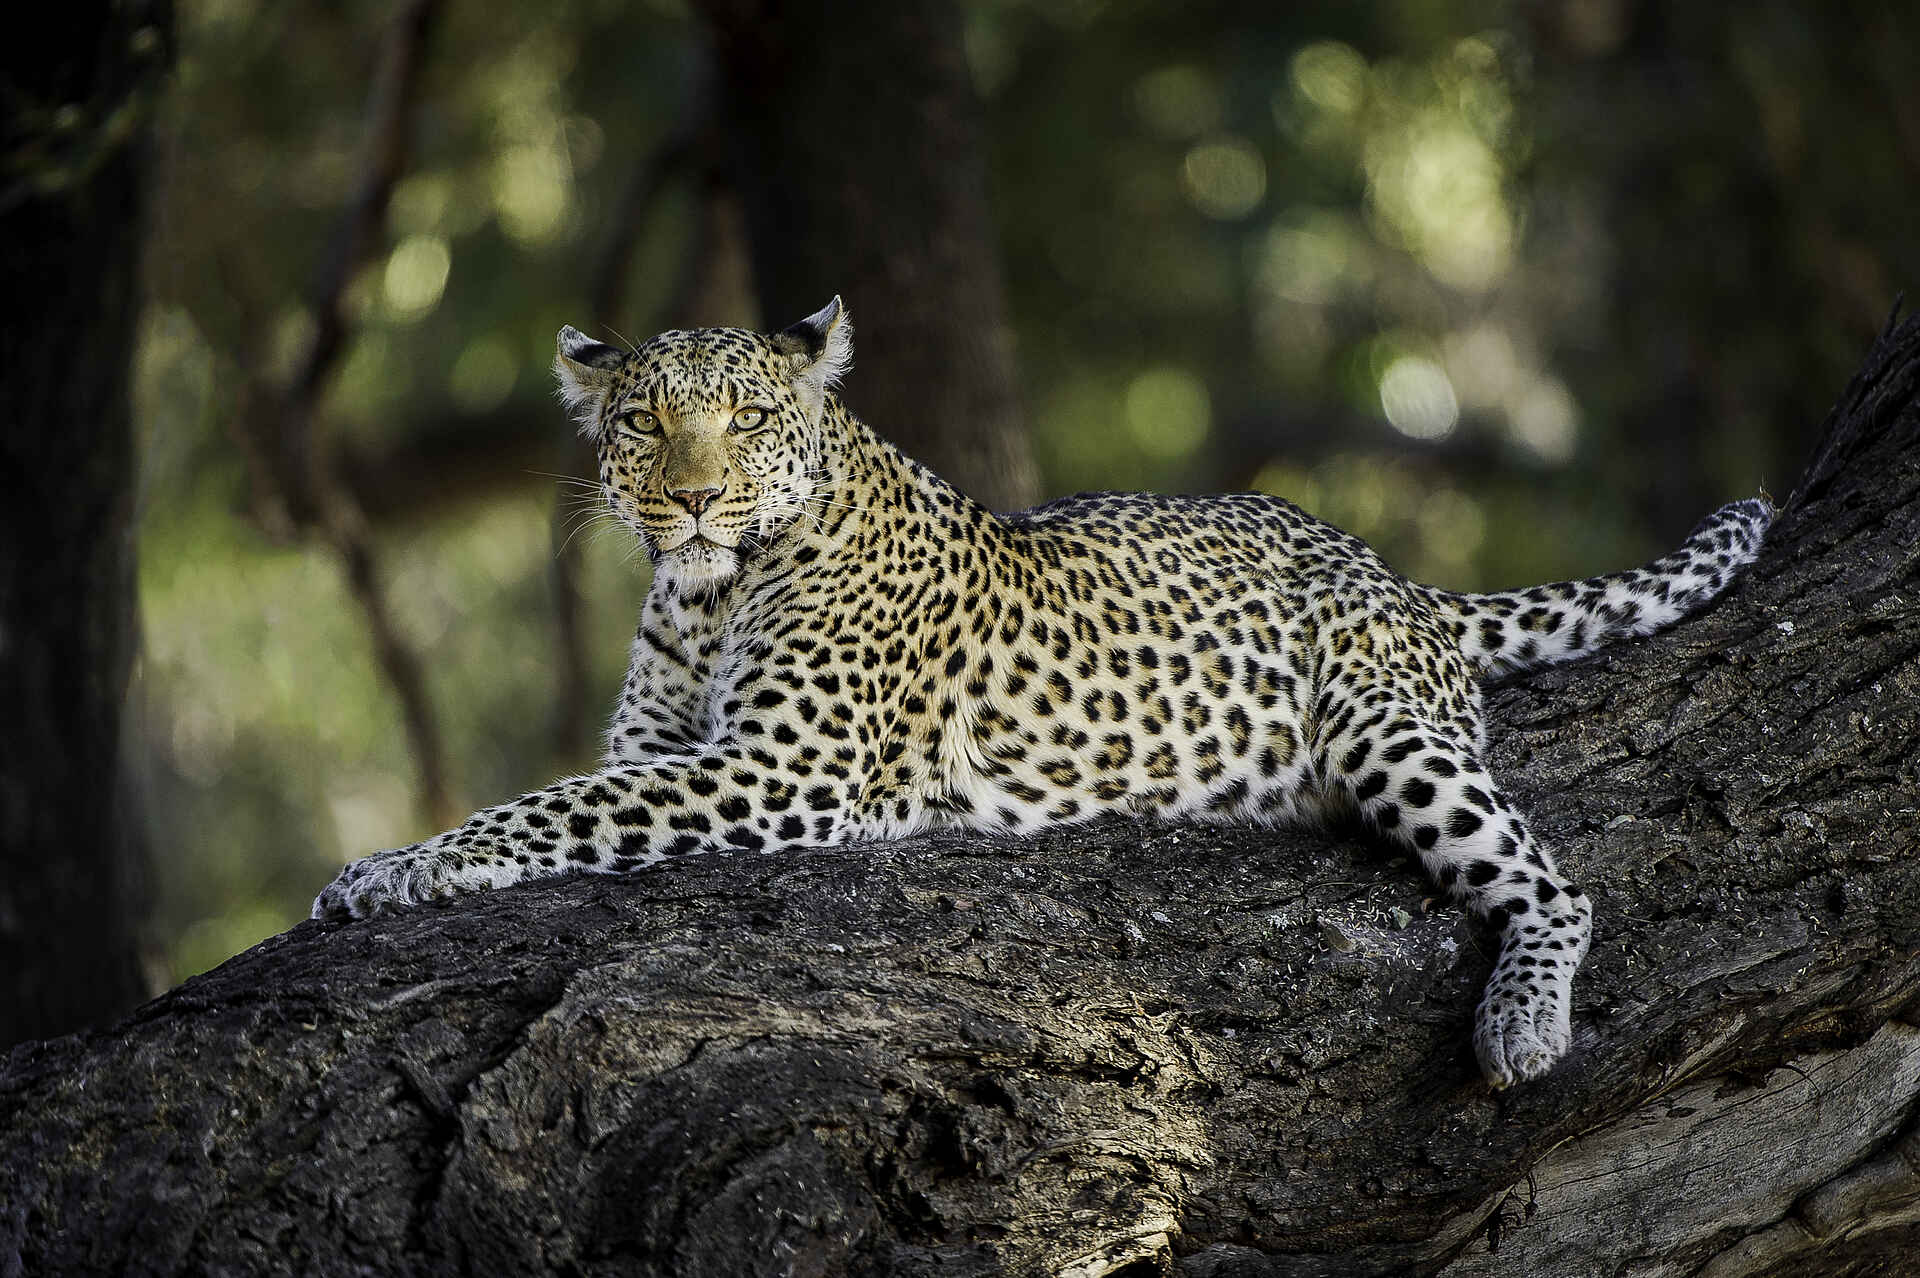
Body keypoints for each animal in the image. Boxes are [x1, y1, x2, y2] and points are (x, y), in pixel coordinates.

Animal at [312, 297, 1774, 1087]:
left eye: (745, 419)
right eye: (643, 422)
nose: (692, 498)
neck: (706, 594)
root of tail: (1394, 572)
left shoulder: (782, 772)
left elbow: (546, 809)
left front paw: (393, 871)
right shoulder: (664, 748)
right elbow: (568, 793)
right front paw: (392, 863)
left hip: (1384, 723)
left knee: (1556, 884)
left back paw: (1521, 1021)